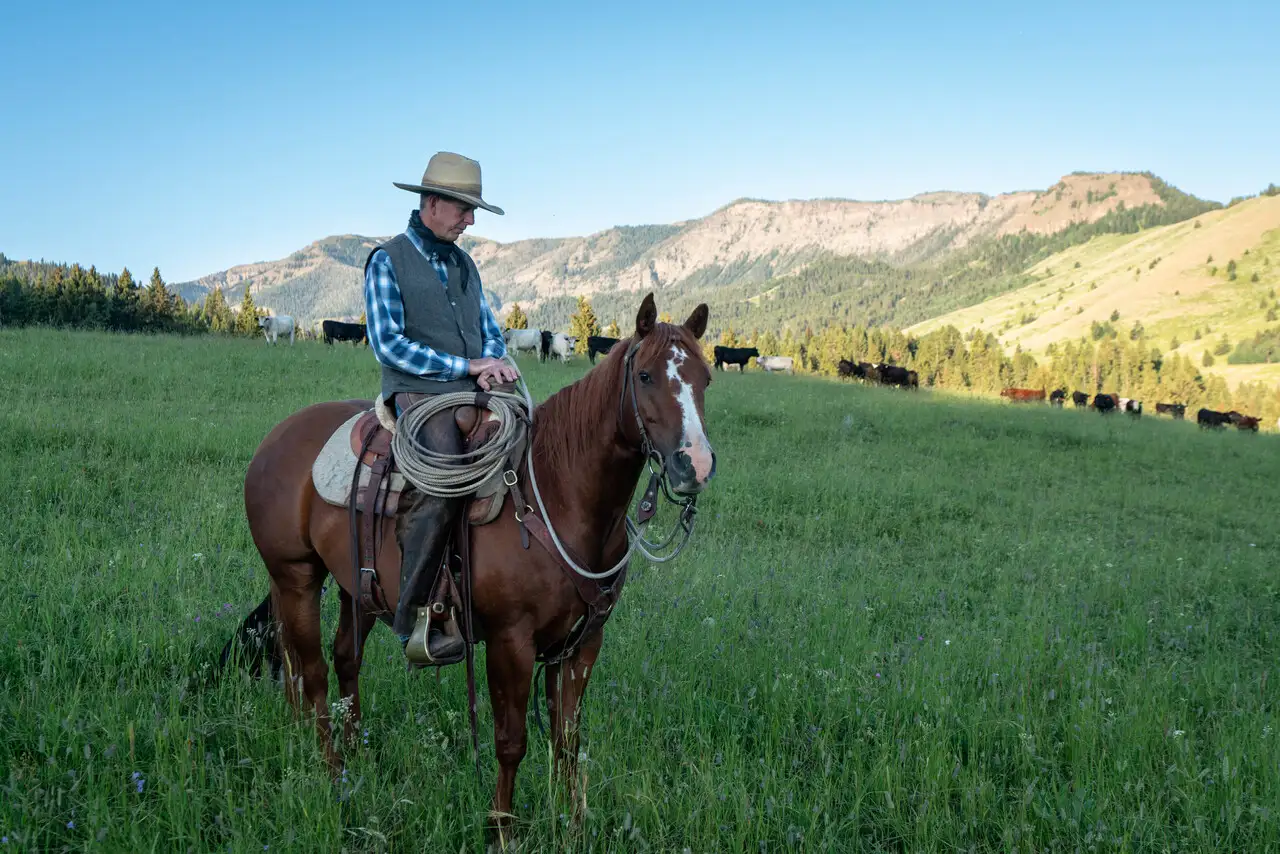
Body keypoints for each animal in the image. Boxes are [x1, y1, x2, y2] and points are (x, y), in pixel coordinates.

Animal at [225, 294, 716, 839]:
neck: (558, 493)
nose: (694, 466)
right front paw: (502, 829)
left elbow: (567, 740)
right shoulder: (510, 641)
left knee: (344, 659)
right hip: (296, 576)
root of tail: (279, 436)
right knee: (308, 673)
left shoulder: (583, 642)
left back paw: (356, 759)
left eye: (705, 378)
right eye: (646, 376)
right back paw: (333, 775)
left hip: (358, 588)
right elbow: (512, 741)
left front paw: (574, 828)